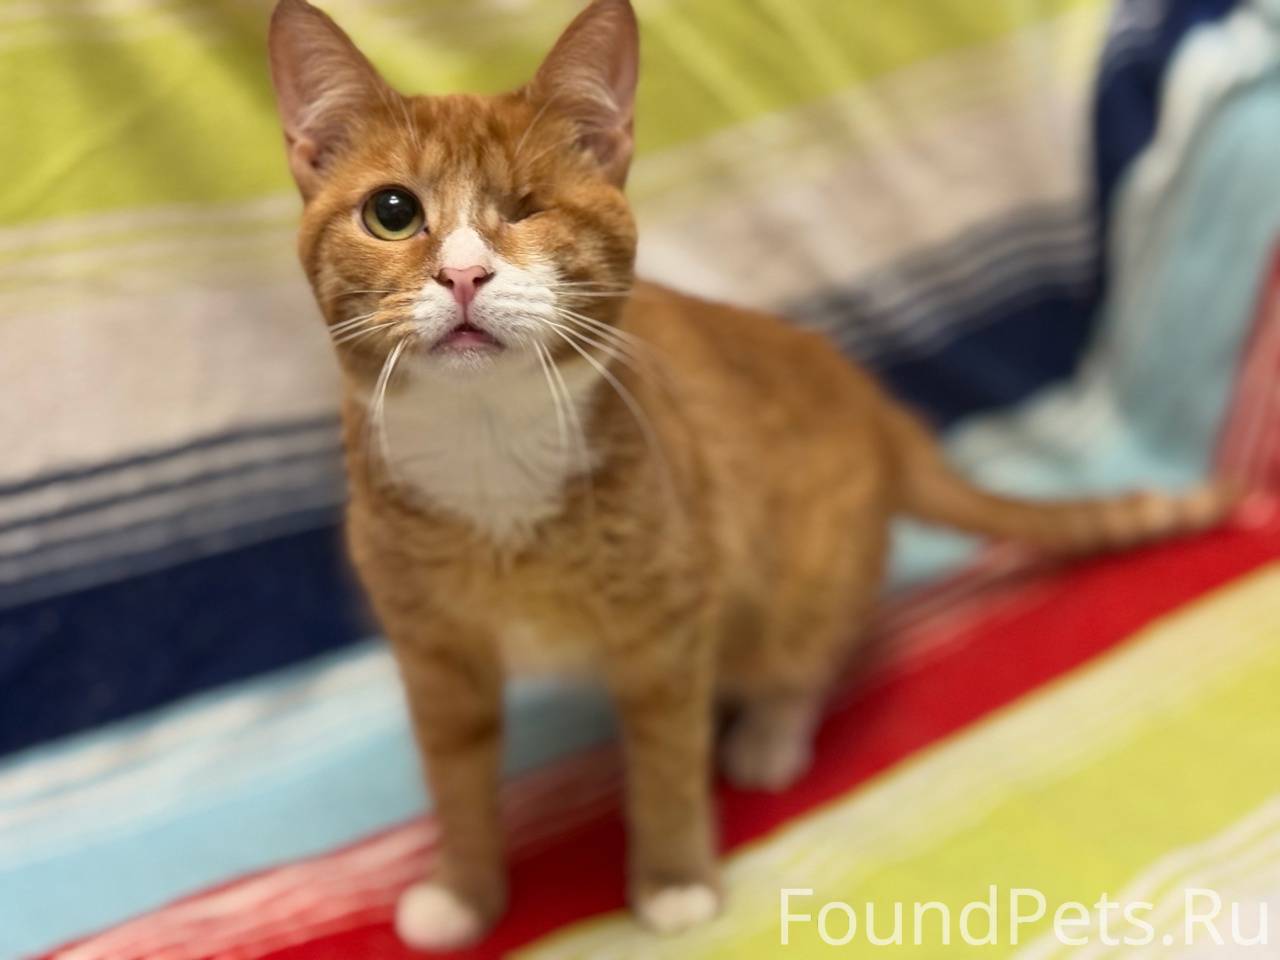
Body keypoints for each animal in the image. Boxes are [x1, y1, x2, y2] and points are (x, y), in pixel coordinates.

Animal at [267, 0, 1234, 949]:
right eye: (394, 211)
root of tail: (875, 406)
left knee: (806, 652)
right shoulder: (433, 651)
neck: (488, 452)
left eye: (531, 208)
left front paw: (674, 882)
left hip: (808, 572)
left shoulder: (669, 629)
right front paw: (464, 894)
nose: (464, 274)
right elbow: (457, 777)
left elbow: (666, 763)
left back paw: (770, 733)